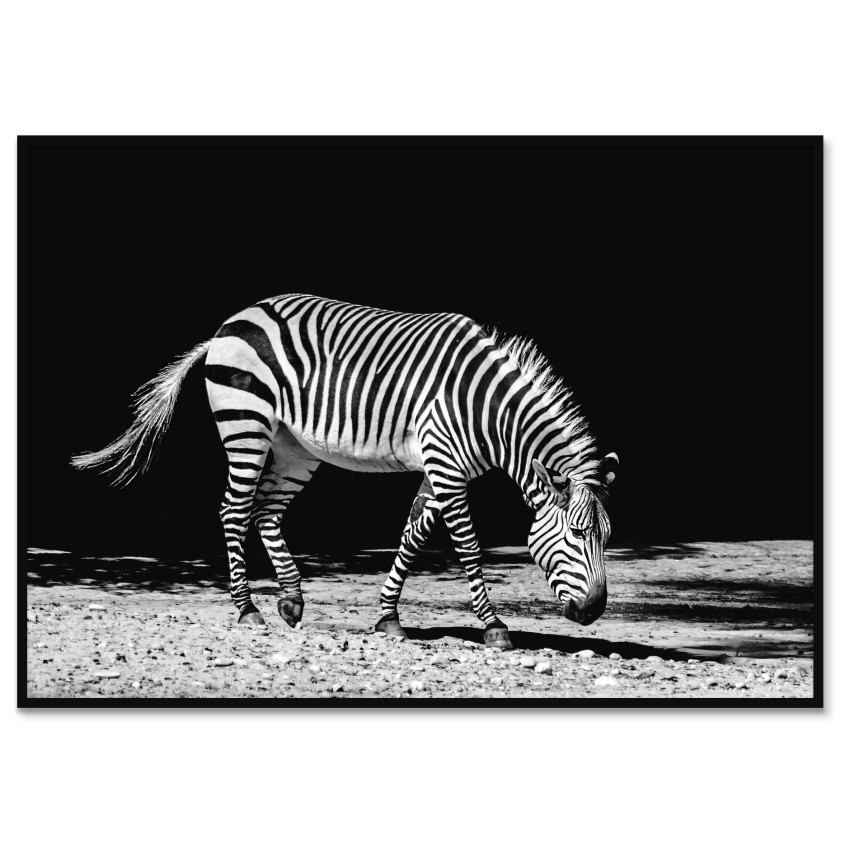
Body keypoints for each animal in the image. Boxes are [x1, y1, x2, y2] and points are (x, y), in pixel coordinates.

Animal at [72, 293, 618, 649]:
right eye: (575, 534)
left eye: (606, 537)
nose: (594, 612)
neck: (487, 409)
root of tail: (234, 319)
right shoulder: (445, 463)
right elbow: (466, 544)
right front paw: (493, 626)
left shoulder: (440, 467)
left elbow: (413, 536)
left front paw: (388, 617)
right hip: (246, 423)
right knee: (233, 509)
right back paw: (247, 609)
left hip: (294, 444)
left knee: (266, 513)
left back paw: (291, 601)